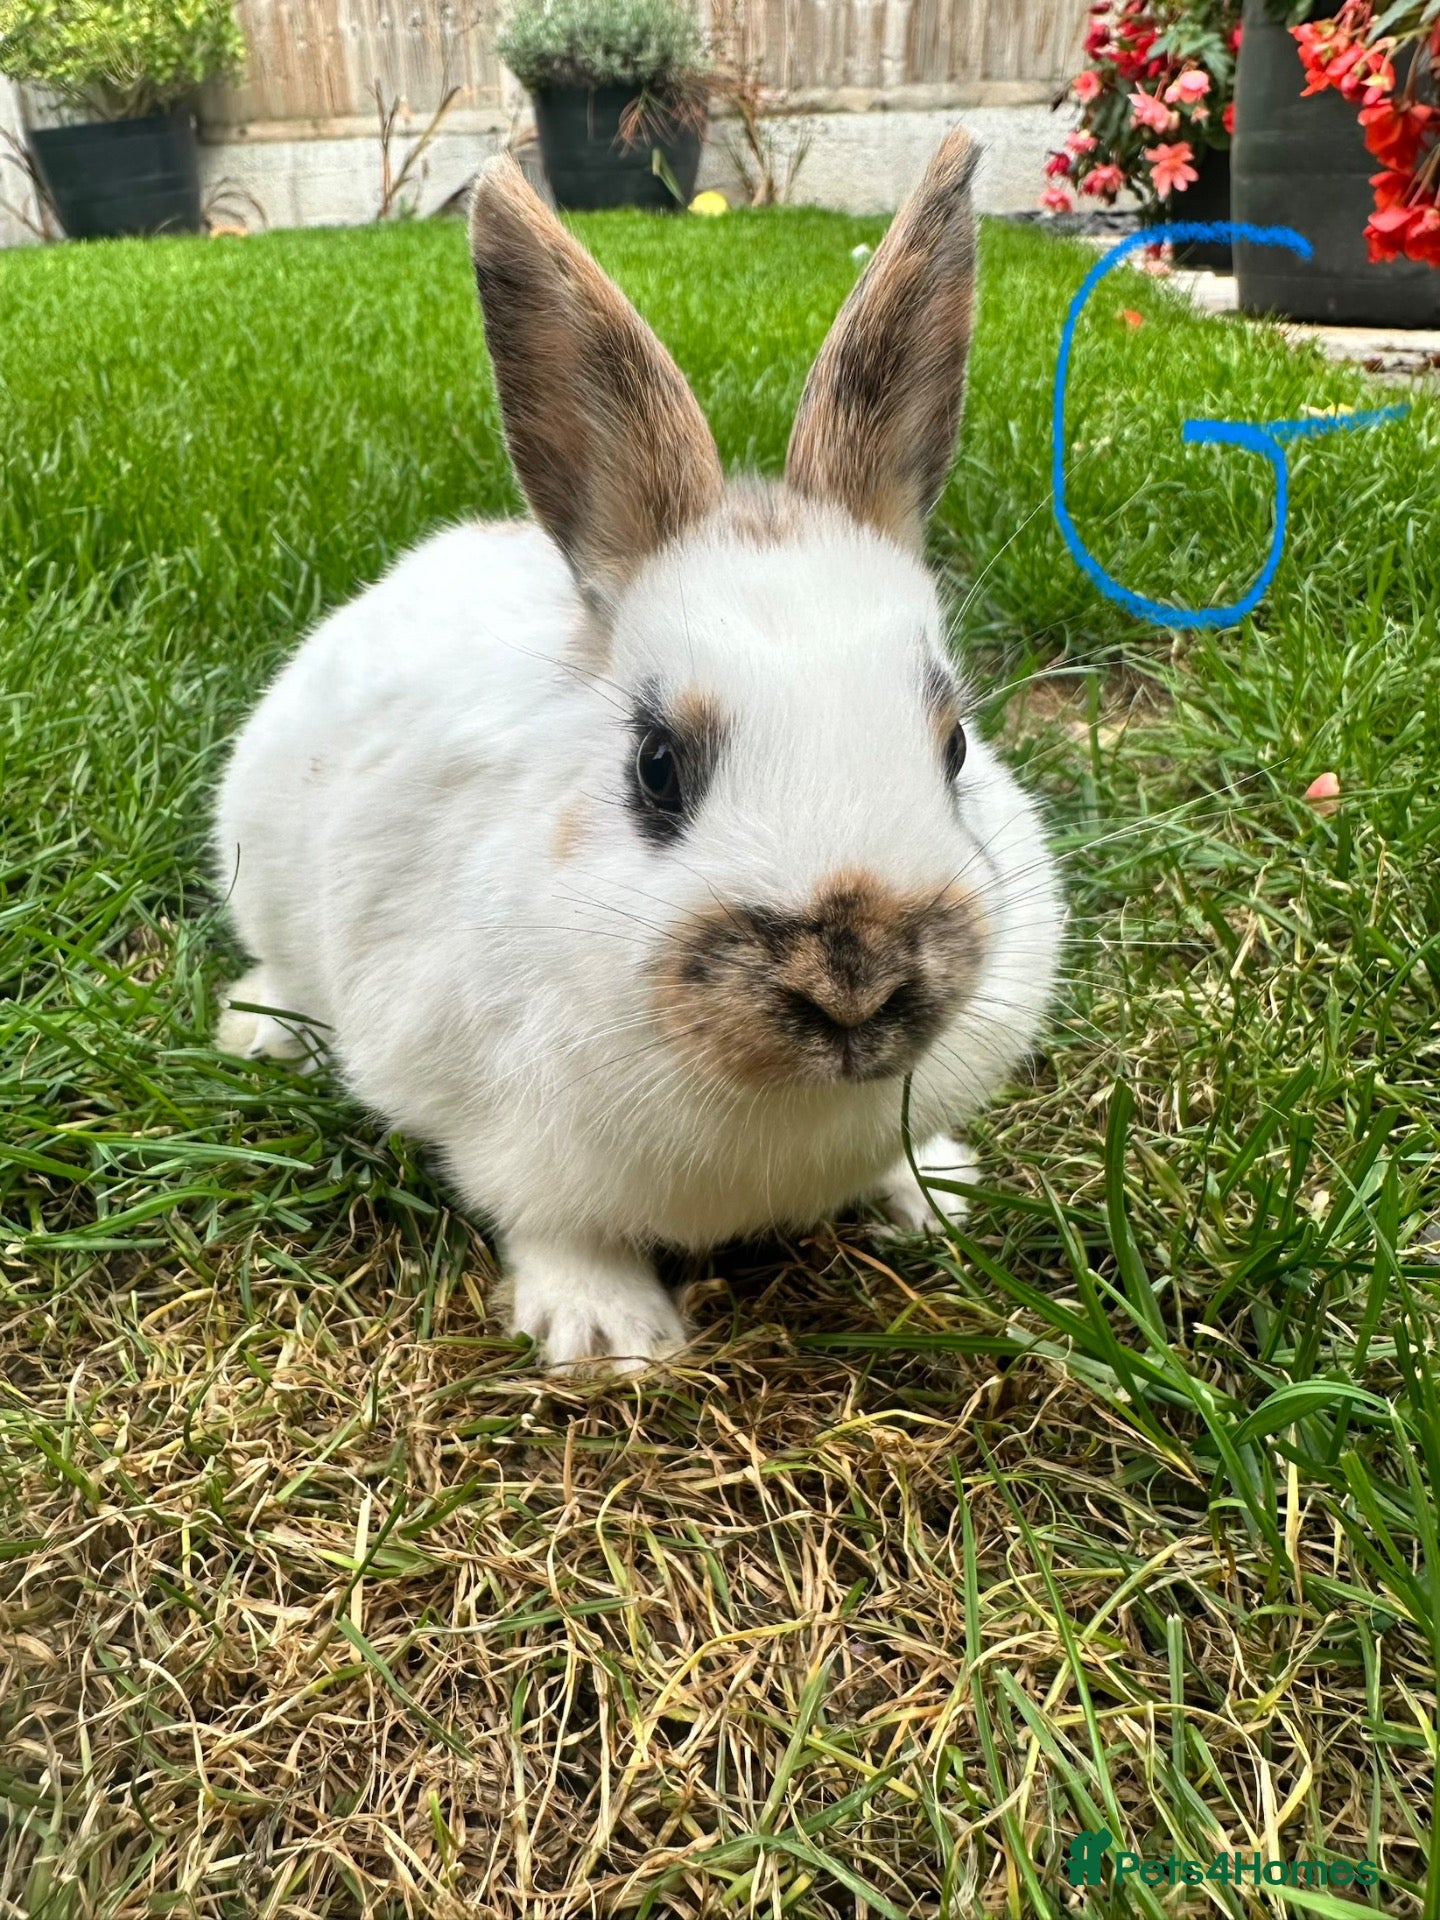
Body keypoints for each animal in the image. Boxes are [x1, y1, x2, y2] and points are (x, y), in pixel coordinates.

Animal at [213, 129, 1062, 1373]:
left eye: (954, 746)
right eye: (657, 769)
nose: (854, 982)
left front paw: (938, 1193)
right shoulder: (496, 1122)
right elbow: (548, 1220)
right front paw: (610, 1335)